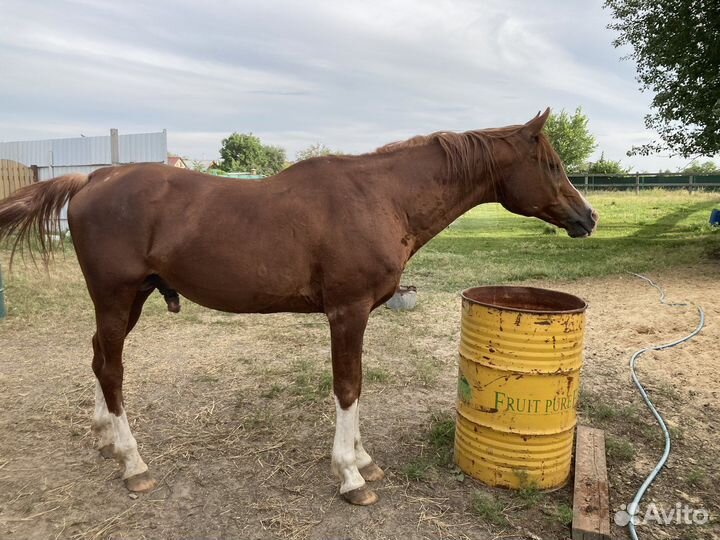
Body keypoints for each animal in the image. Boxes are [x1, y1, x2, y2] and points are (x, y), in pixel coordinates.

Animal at [0, 109, 597, 506]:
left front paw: (364, 461)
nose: (587, 217)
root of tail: (94, 176)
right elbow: (348, 386)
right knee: (111, 368)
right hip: (116, 296)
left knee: (99, 357)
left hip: (130, 300)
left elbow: (357, 386)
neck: (381, 198)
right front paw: (350, 475)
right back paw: (133, 463)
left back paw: (105, 438)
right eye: (550, 163)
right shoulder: (347, 312)